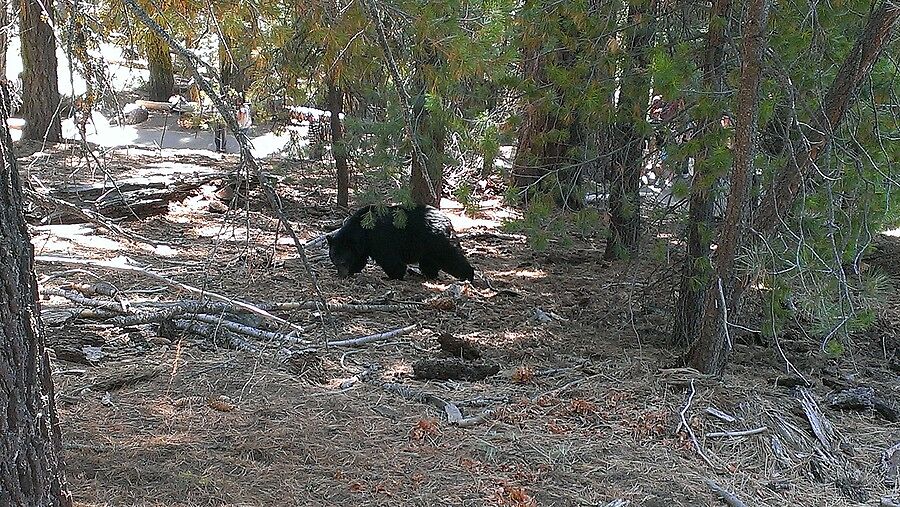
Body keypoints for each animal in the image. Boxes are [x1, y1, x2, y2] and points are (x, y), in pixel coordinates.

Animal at [326, 205, 474, 282]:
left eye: (343, 261)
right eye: (334, 260)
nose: (341, 275)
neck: (363, 230)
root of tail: (448, 220)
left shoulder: (380, 239)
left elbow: (389, 259)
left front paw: (393, 276)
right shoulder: (363, 247)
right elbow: (359, 258)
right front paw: (354, 270)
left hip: (436, 240)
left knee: (450, 256)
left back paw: (468, 275)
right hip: (427, 246)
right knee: (429, 261)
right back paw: (428, 274)